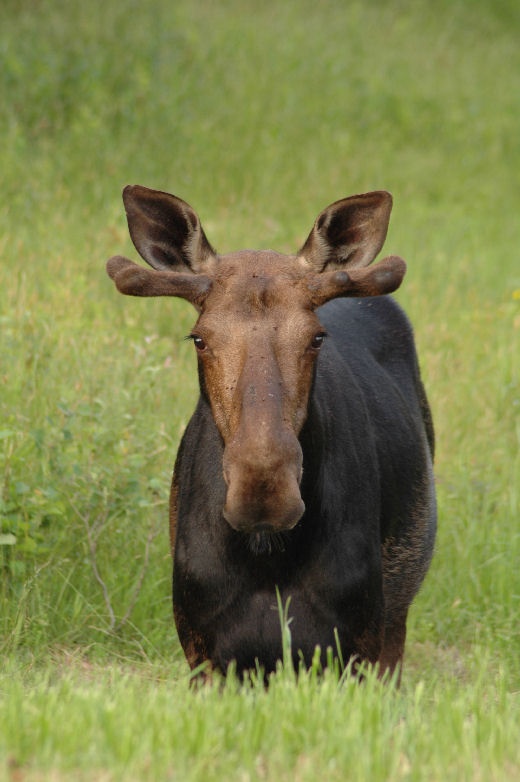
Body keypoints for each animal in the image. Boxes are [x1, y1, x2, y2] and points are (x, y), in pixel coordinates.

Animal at [107, 187, 436, 684]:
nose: (264, 491)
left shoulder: (358, 647)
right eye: (199, 338)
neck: (268, 558)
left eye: (317, 338)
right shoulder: (204, 654)